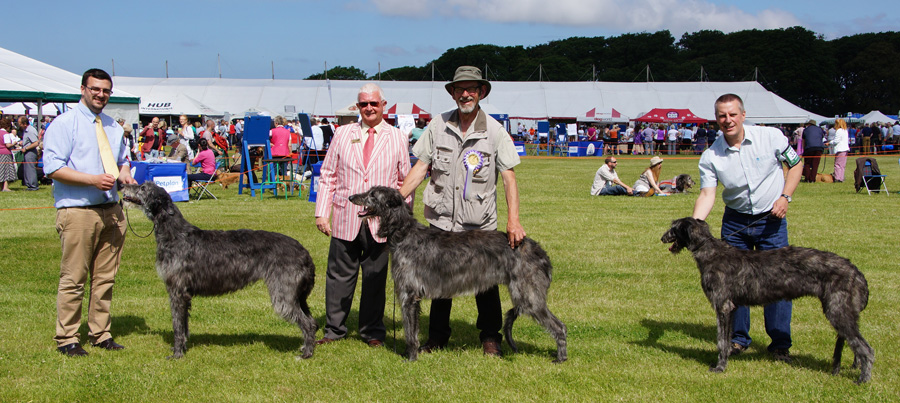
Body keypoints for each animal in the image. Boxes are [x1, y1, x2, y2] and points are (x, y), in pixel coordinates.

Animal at [119, 183, 316, 360]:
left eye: (143, 187)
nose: (121, 185)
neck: (174, 233)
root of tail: (305, 252)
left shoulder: (176, 291)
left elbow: (177, 325)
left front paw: (177, 354)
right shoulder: (185, 294)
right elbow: (184, 325)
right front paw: (182, 348)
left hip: (283, 294)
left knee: (308, 323)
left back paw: (306, 354)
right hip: (298, 295)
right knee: (312, 321)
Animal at [348, 186, 568, 362]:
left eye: (372, 194)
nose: (351, 197)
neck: (403, 233)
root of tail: (539, 251)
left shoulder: (409, 296)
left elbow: (411, 332)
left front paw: (410, 358)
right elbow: (414, 330)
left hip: (529, 296)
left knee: (560, 326)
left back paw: (560, 358)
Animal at [656, 218, 876, 386]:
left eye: (674, 228)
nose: (662, 237)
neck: (710, 252)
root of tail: (856, 272)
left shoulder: (722, 306)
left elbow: (720, 340)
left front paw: (719, 367)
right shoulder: (731, 308)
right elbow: (726, 339)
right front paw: (726, 359)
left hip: (837, 311)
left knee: (866, 348)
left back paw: (863, 380)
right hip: (843, 312)